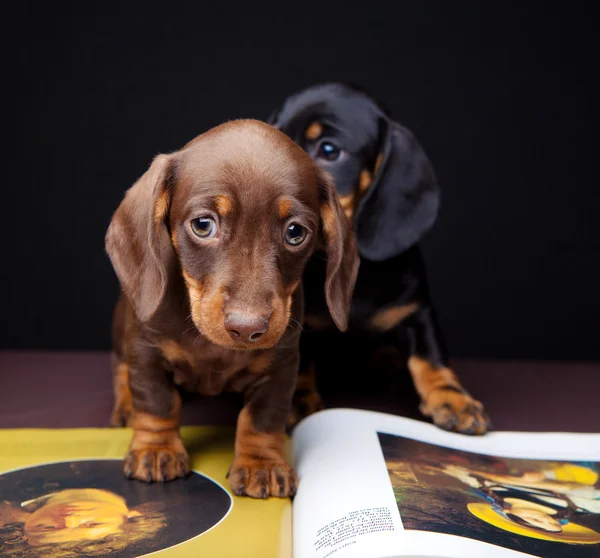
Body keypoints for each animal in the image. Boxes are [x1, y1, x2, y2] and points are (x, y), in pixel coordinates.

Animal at [105, 119, 358, 498]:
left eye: (295, 232)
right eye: (203, 224)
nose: (247, 327)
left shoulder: (281, 363)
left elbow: (263, 417)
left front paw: (261, 464)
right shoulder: (146, 348)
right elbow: (156, 401)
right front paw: (157, 449)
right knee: (122, 368)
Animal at [270, 82, 490, 438]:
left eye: (329, 150)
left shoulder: (417, 311)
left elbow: (432, 358)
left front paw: (452, 398)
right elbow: (299, 361)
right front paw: (298, 399)